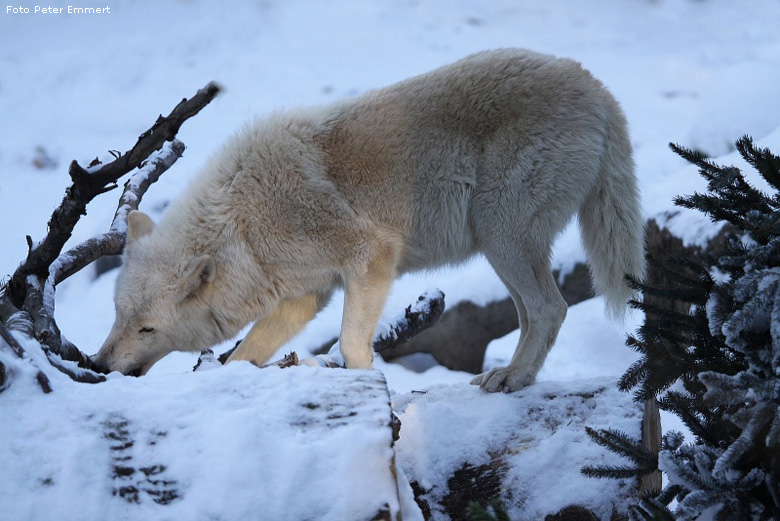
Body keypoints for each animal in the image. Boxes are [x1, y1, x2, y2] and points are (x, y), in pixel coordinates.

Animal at [93, 48, 644, 392]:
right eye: (118, 316)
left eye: (146, 329)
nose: (98, 364)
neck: (244, 225)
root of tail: (596, 87)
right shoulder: (305, 296)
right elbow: (245, 353)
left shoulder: (370, 257)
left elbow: (350, 343)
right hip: (500, 246)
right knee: (533, 314)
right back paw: (511, 375)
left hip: (500, 234)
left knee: (552, 309)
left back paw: (513, 378)